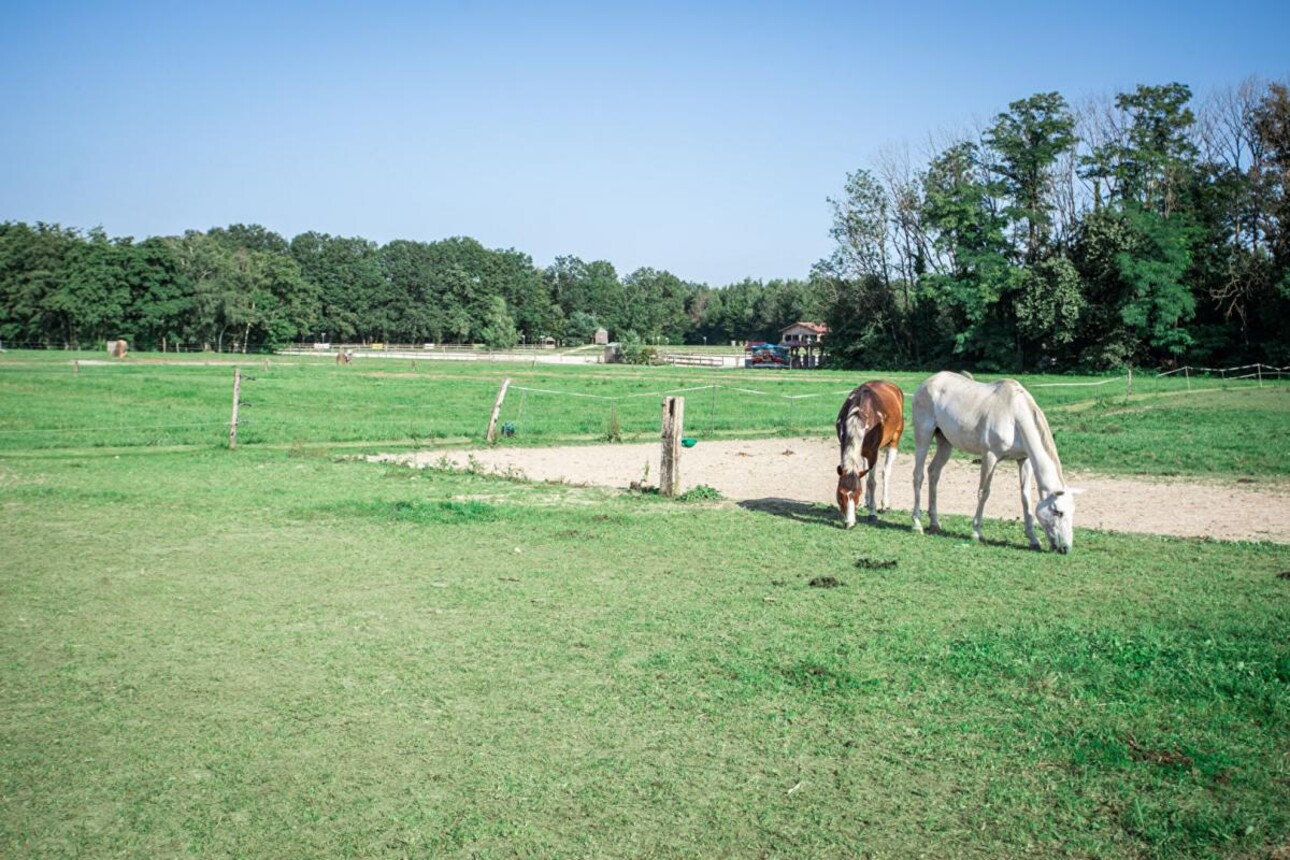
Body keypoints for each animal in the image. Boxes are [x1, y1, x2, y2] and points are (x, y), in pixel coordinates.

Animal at [835, 381, 908, 528]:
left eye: (857, 494)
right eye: (840, 494)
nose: (849, 523)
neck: (858, 415)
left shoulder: (873, 452)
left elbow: (871, 482)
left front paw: (872, 513)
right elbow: (863, 477)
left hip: (894, 440)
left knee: (886, 472)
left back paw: (884, 505)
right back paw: (867, 502)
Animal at [913, 373, 1083, 554]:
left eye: (1072, 512)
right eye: (1058, 512)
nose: (1065, 548)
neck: (1015, 416)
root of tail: (927, 383)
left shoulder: (1023, 460)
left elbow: (1025, 497)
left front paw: (1034, 540)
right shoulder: (990, 456)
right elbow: (984, 492)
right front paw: (976, 533)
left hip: (945, 442)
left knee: (933, 473)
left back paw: (935, 523)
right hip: (923, 435)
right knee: (918, 475)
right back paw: (916, 524)